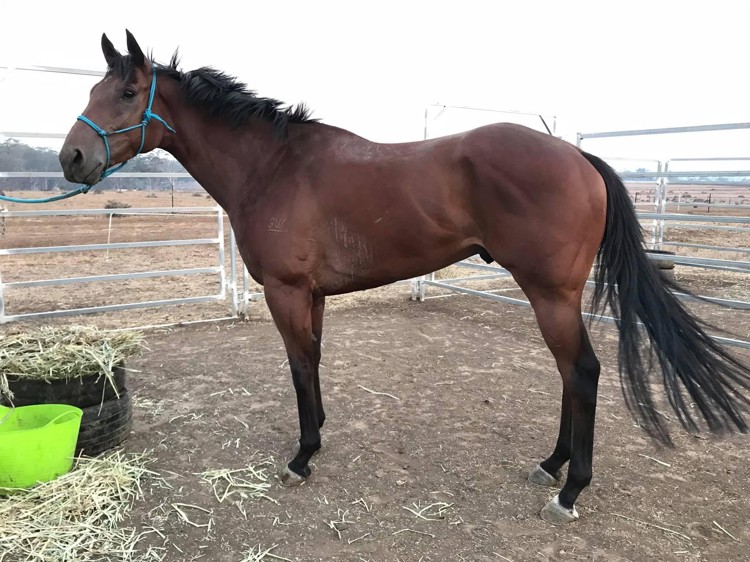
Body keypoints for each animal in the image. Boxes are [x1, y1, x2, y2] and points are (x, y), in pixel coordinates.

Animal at [59, 31, 750, 524]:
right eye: (94, 89)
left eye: (126, 94)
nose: (72, 158)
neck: (274, 166)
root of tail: (577, 155)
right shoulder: (312, 296)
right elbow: (313, 363)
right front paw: (319, 436)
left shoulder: (287, 293)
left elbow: (298, 367)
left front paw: (302, 457)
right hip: (557, 296)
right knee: (569, 373)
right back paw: (551, 464)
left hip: (550, 294)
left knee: (581, 372)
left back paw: (569, 489)